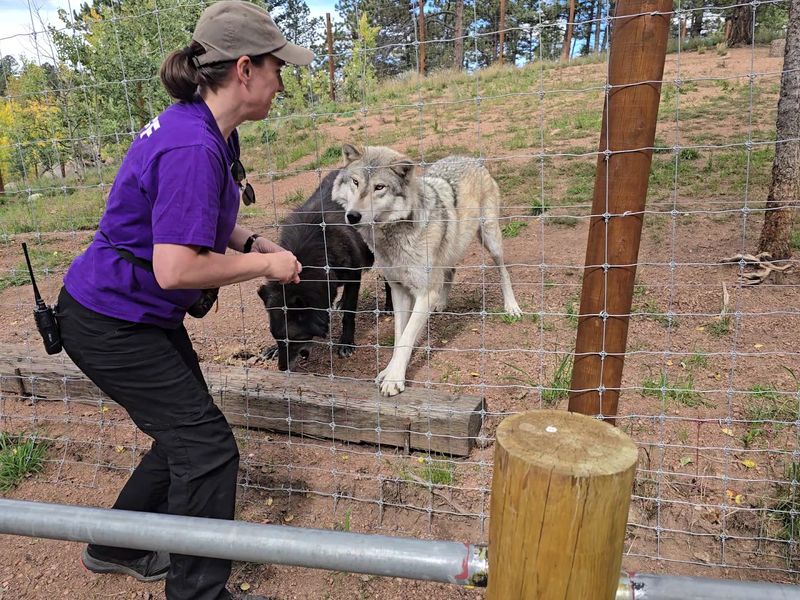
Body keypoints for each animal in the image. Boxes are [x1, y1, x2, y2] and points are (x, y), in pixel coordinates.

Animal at [258, 170, 383, 371]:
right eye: (276, 337)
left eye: (294, 338)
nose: (283, 369)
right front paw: (272, 350)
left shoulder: (354, 275)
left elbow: (349, 313)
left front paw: (346, 343)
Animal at [332, 144, 522, 396]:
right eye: (355, 182)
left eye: (379, 187)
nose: (352, 216)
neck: (393, 236)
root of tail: (467, 157)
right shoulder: (399, 290)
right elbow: (399, 336)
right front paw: (389, 371)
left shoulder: (424, 293)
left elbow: (406, 337)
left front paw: (394, 379)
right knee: (451, 272)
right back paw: (441, 304)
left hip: (490, 241)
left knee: (504, 272)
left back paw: (511, 306)